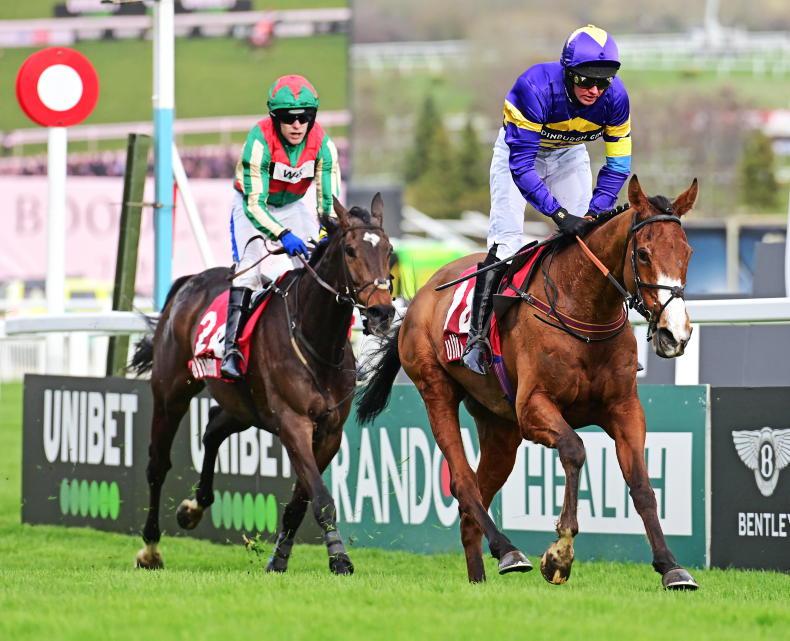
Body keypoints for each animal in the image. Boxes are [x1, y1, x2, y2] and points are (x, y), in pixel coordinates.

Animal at [130, 194, 395, 575]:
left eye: (389, 250)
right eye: (350, 250)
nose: (381, 313)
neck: (316, 337)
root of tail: (190, 281)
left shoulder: (329, 431)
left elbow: (302, 500)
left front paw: (278, 558)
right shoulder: (293, 423)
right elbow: (322, 498)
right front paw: (339, 558)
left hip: (245, 406)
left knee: (213, 428)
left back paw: (193, 508)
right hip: (171, 393)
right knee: (157, 465)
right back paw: (150, 549)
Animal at [357, 176, 699, 589]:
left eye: (688, 252)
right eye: (645, 254)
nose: (675, 334)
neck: (585, 310)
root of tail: (420, 296)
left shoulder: (624, 409)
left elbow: (643, 485)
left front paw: (671, 566)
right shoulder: (533, 407)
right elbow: (575, 449)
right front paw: (560, 554)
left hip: (499, 427)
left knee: (475, 495)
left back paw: (479, 575)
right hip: (436, 391)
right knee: (463, 482)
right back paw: (508, 550)